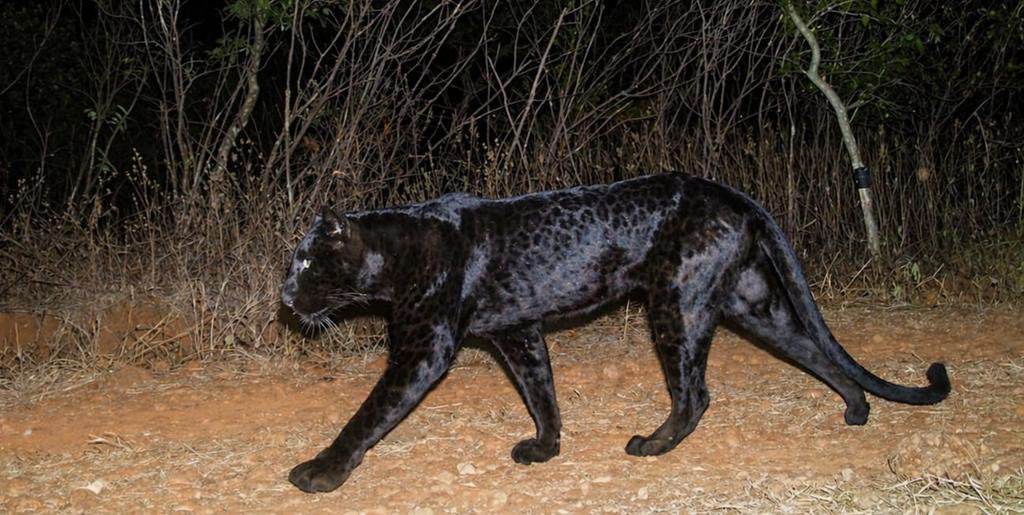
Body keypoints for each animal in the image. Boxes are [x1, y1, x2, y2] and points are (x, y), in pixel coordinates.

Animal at [279, 173, 950, 493]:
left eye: (306, 262)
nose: (284, 295)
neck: (391, 255)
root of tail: (728, 191)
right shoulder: (519, 332)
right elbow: (541, 393)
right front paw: (545, 448)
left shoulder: (423, 348)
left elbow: (369, 414)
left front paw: (320, 473)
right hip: (753, 304)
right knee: (815, 350)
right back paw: (857, 409)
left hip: (676, 304)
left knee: (695, 392)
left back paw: (651, 446)